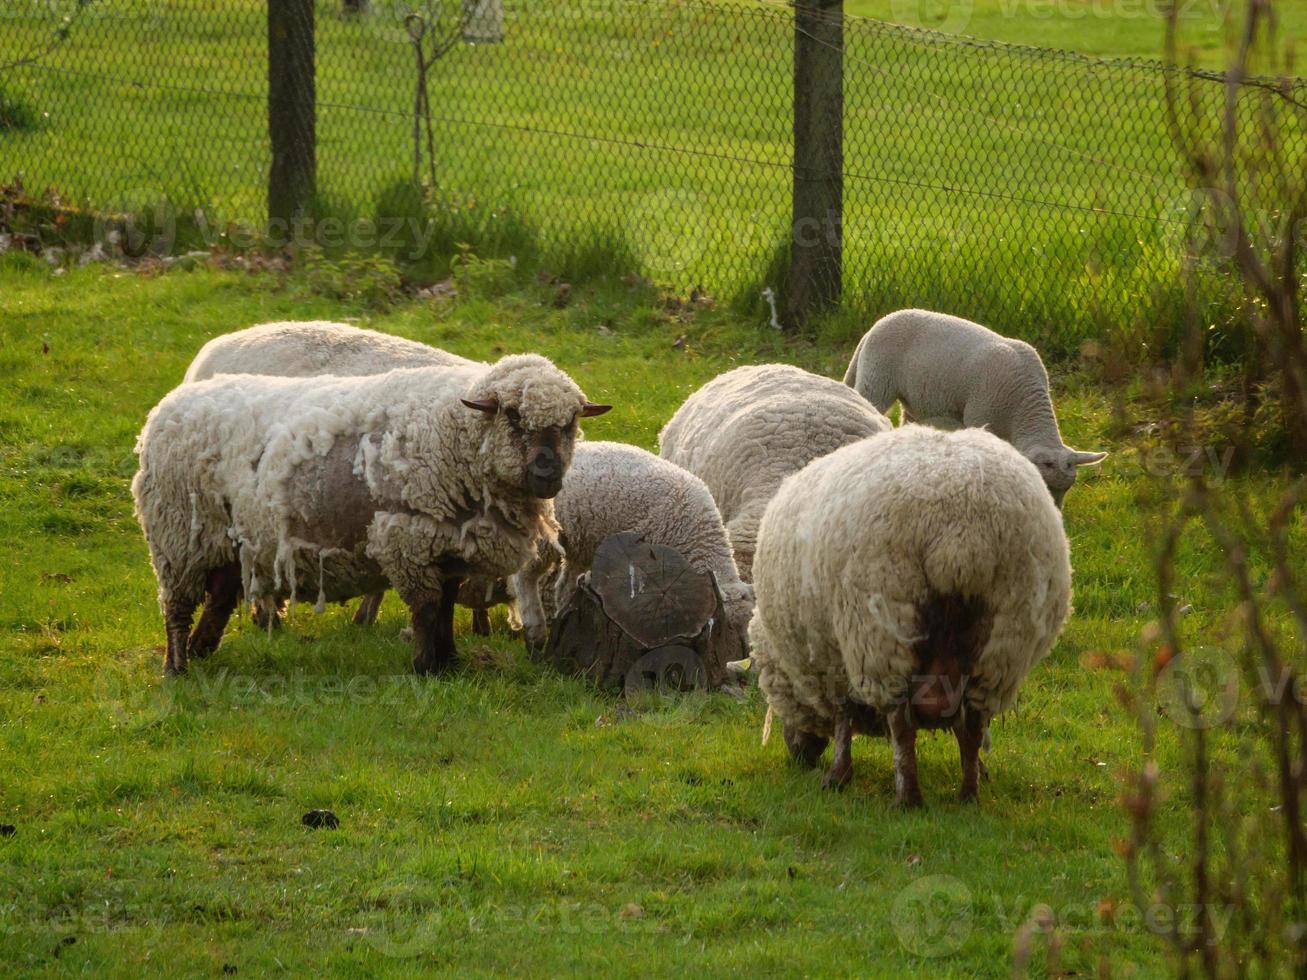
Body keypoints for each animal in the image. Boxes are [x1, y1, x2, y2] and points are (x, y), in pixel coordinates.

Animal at [132, 358, 611, 679]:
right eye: (512, 416)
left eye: (571, 423)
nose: (548, 471)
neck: (457, 436)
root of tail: (165, 407)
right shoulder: (407, 541)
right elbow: (427, 609)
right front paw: (427, 667)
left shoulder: (446, 548)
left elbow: (443, 606)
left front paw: (450, 661)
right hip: (178, 533)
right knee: (176, 603)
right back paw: (177, 666)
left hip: (230, 539)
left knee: (218, 597)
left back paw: (202, 648)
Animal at [509, 444, 758, 661]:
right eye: (726, 627)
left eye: (749, 622)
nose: (744, 655)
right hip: (544, 536)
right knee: (526, 577)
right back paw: (534, 632)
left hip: (579, 542)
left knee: (564, 585)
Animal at [747, 425, 1071, 810]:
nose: (798, 757)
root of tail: (961, 535)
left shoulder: (835, 659)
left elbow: (843, 719)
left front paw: (837, 776)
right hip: (1004, 637)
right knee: (974, 722)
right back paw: (968, 794)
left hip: (884, 625)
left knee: (901, 725)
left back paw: (908, 798)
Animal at [841, 308, 1108, 509]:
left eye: (1067, 489)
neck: (1023, 408)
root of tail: (878, 324)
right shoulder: (980, 417)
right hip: (876, 379)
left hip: (914, 398)